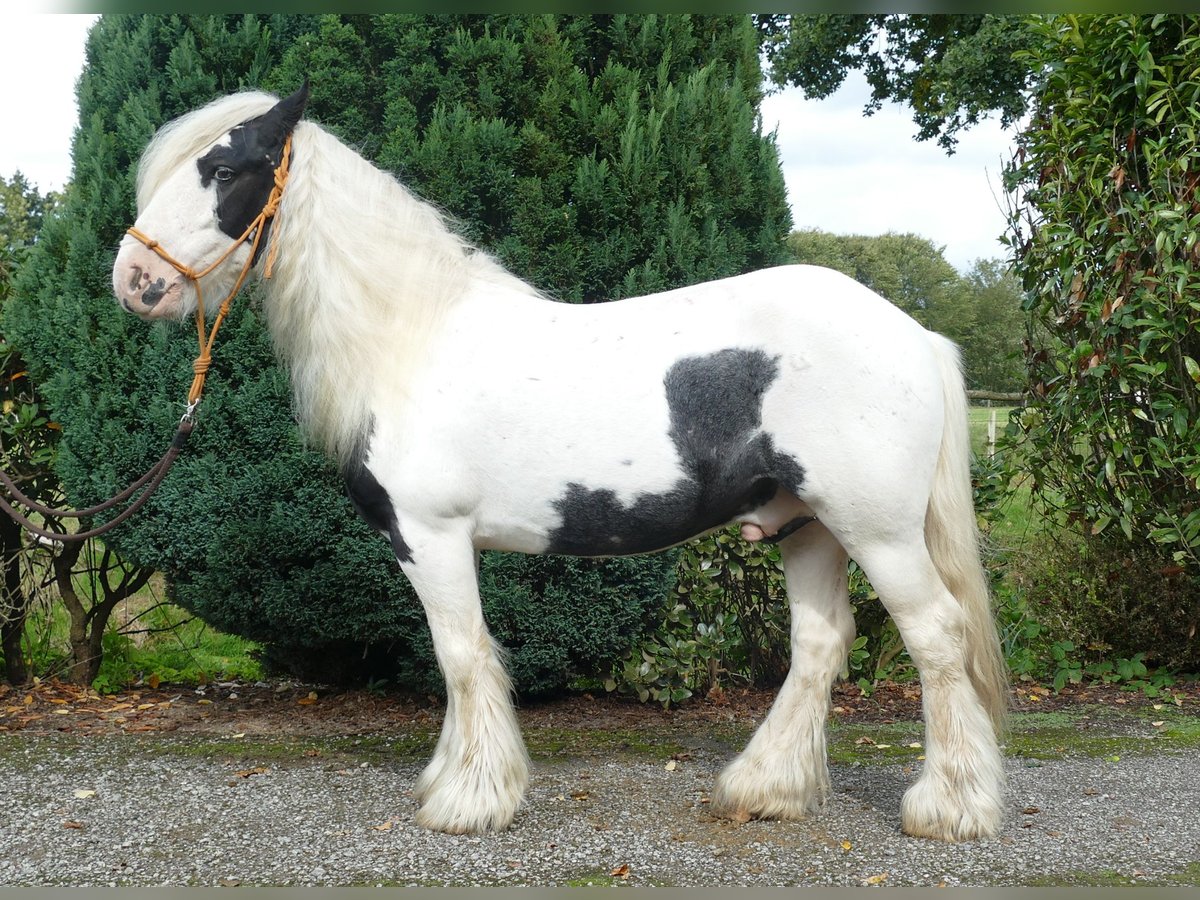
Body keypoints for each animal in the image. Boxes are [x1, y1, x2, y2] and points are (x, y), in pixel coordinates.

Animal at [112, 86, 1012, 844]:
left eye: (224, 169)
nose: (135, 280)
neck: (412, 341)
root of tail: (912, 333)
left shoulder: (430, 536)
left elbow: (461, 653)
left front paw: (469, 799)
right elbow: (460, 656)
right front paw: (452, 780)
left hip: (878, 531)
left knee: (936, 636)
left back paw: (950, 808)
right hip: (808, 527)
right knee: (821, 645)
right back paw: (763, 789)